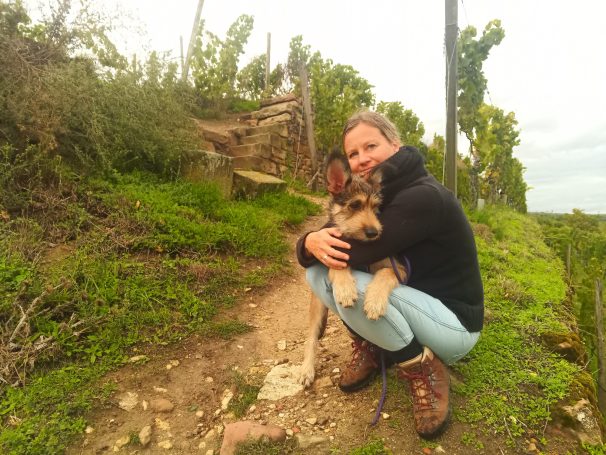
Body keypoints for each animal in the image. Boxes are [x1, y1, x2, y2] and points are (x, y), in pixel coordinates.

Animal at [298, 150, 407, 387]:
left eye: (376, 208)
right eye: (355, 205)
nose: (374, 233)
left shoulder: (399, 268)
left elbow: (385, 273)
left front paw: (374, 302)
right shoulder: (329, 250)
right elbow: (337, 265)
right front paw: (346, 289)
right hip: (317, 306)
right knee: (311, 337)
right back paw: (306, 369)